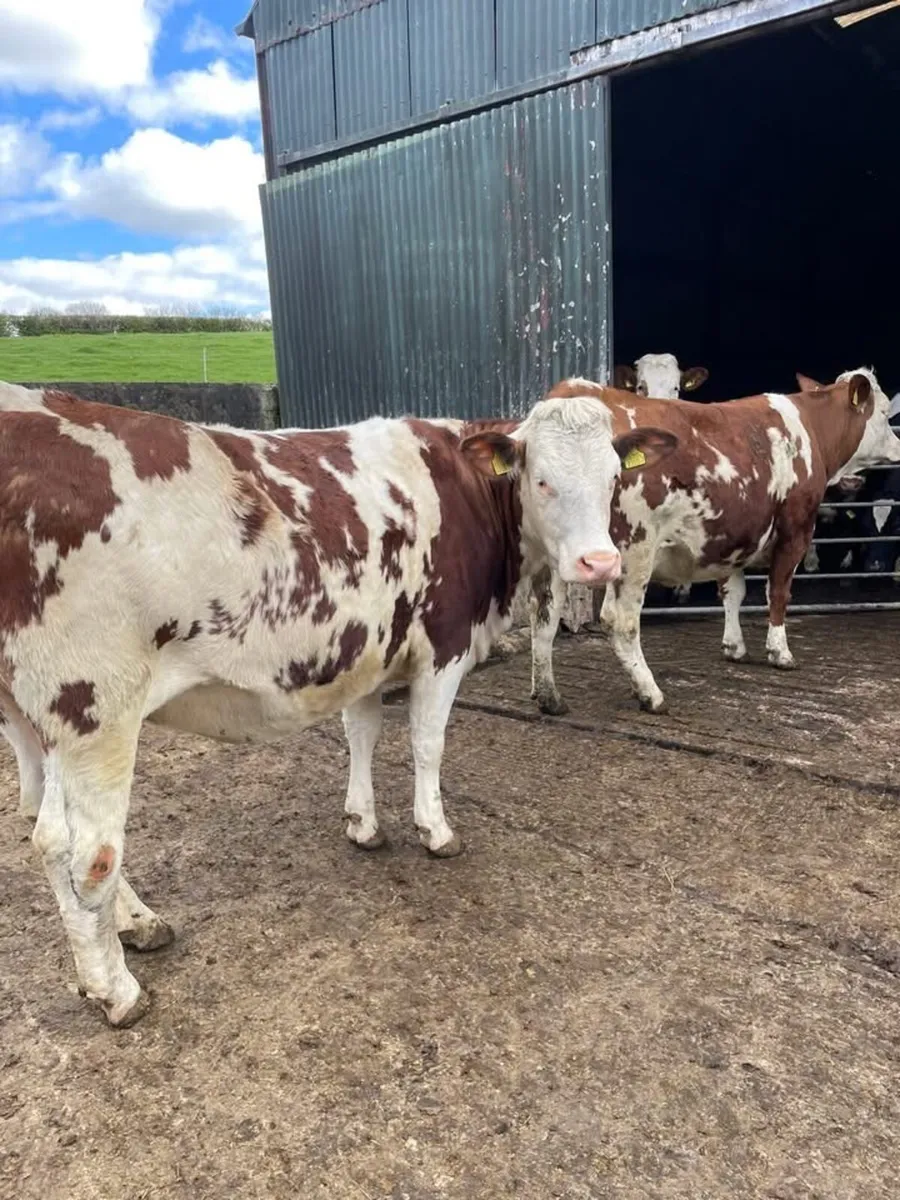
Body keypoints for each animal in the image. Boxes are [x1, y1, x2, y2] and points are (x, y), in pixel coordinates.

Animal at [0, 382, 677, 1026]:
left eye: (613, 480)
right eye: (541, 479)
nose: (600, 562)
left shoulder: (371, 647)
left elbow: (362, 734)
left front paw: (363, 822)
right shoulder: (445, 643)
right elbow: (426, 744)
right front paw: (435, 830)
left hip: (34, 720)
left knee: (47, 833)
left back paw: (138, 925)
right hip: (95, 708)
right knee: (88, 853)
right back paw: (115, 990)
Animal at [526, 368, 900, 716]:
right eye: (884, 412)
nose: (898, 447)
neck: (809, 430)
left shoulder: (731, 535)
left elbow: (733, 592)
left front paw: (734, 646)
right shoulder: (796, 529)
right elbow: (778, 592)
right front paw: (780, 652)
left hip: (554, 557)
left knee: (544, 615)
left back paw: (548, 696)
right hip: (635, 550)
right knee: (620, 620)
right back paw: (650, 693)